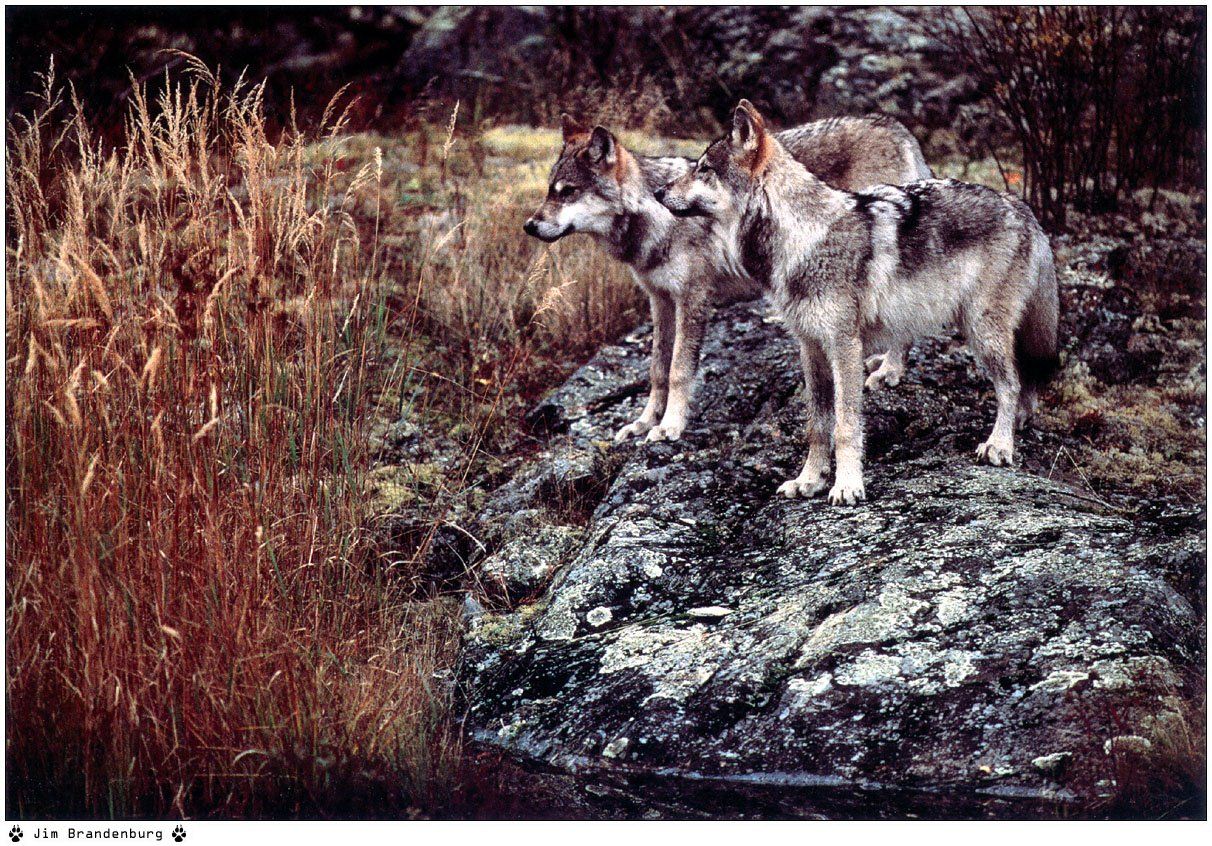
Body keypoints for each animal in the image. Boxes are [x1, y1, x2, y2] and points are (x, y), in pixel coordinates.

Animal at [521, 110, 925, 441]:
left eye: (568, 192)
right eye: (549, 191)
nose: (529, 226)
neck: (653, 217)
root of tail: (895, 126)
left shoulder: (693, 299)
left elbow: (678, 370)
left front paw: (669, 427)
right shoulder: (659, 301)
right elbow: (656, 369)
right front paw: (644, 422)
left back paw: (890, 371)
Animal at [659, 102, 1056, 504]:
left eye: (704, 169)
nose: (659, 191)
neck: (802, 239)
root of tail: (1021, 206)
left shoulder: (844, 347)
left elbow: (846, 427)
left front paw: (847, 485)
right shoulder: (811, 348)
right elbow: (818, 426)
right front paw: (809, 480)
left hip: (982, 332)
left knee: (1011, 383)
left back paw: (1000, 445)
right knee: (1022, 380)